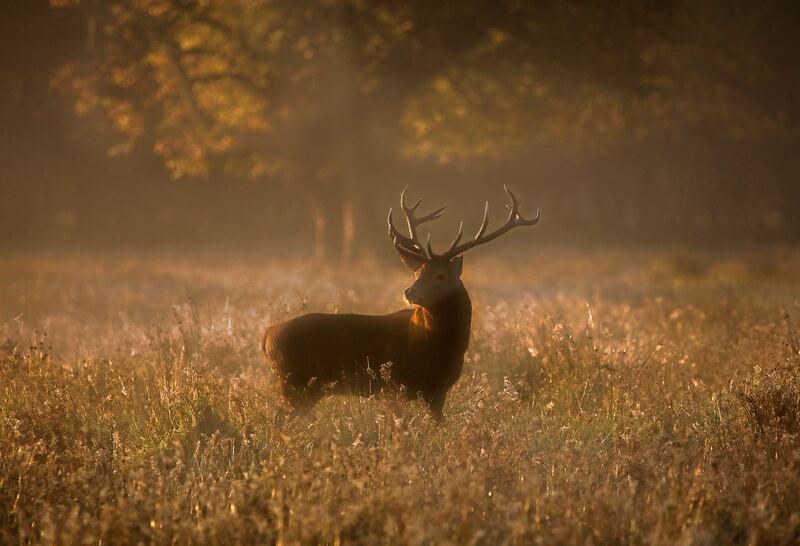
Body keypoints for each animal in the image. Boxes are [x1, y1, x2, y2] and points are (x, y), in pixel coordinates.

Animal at [261, 186, 540, 420]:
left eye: (441, 275)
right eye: (417, 273)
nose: (409, 291)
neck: (436, 348)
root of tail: (266, 335)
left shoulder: (438, 390)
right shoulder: (393, 385)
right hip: (295, 382)